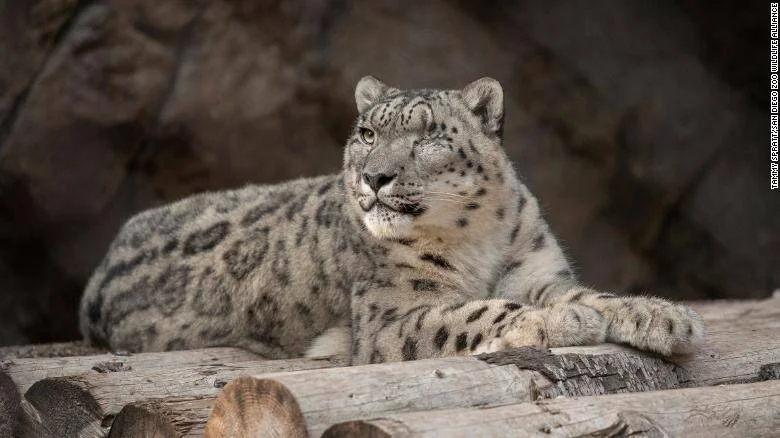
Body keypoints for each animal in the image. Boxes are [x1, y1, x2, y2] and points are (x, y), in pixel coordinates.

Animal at [79, 76, 705, 364]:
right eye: (366, 133)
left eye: (428, 136)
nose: (374, 177)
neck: (478, 239)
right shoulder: (391, 316)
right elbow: (474, 311)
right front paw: (559, 323)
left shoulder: (537, 273)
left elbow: (588, 294)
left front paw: (662, 316)